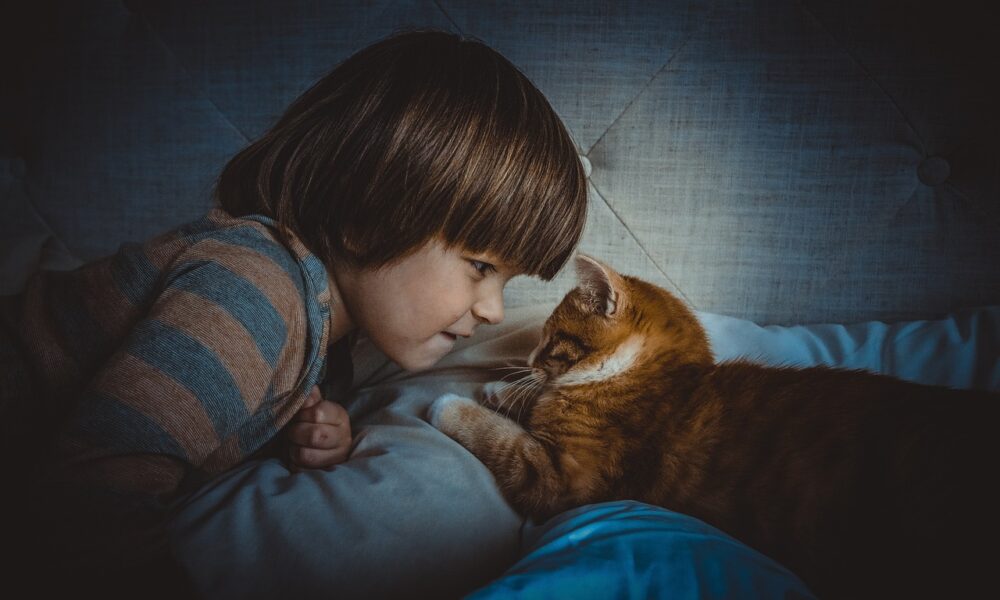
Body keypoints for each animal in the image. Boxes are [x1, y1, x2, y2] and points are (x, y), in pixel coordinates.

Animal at [430, 254, 1000, 600]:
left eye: (551, 339)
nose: (528, 357)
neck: (642, 375)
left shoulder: (563, 479)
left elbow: (506, 441)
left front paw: (453, 404)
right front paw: (503, 391)